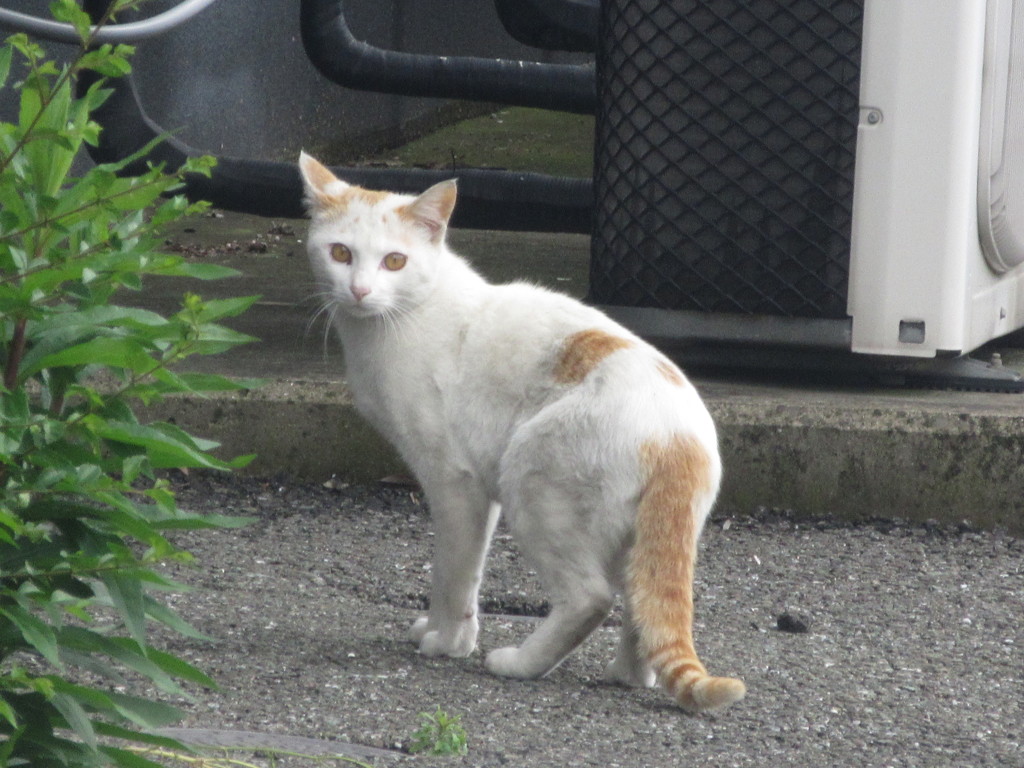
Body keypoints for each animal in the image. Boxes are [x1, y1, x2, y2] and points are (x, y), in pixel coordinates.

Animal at [296, 153, 745, 712]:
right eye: (340, 253)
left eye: (394, 262)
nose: (359, 290)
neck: (398, 318)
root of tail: (675, 437)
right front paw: (440, 631)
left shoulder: (455, 483)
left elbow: (453, 573)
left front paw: (449, 642)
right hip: (632, 534)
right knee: (643, 600)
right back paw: (628, 674)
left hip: (530, 482)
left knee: (591, 598)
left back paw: (520, 664)